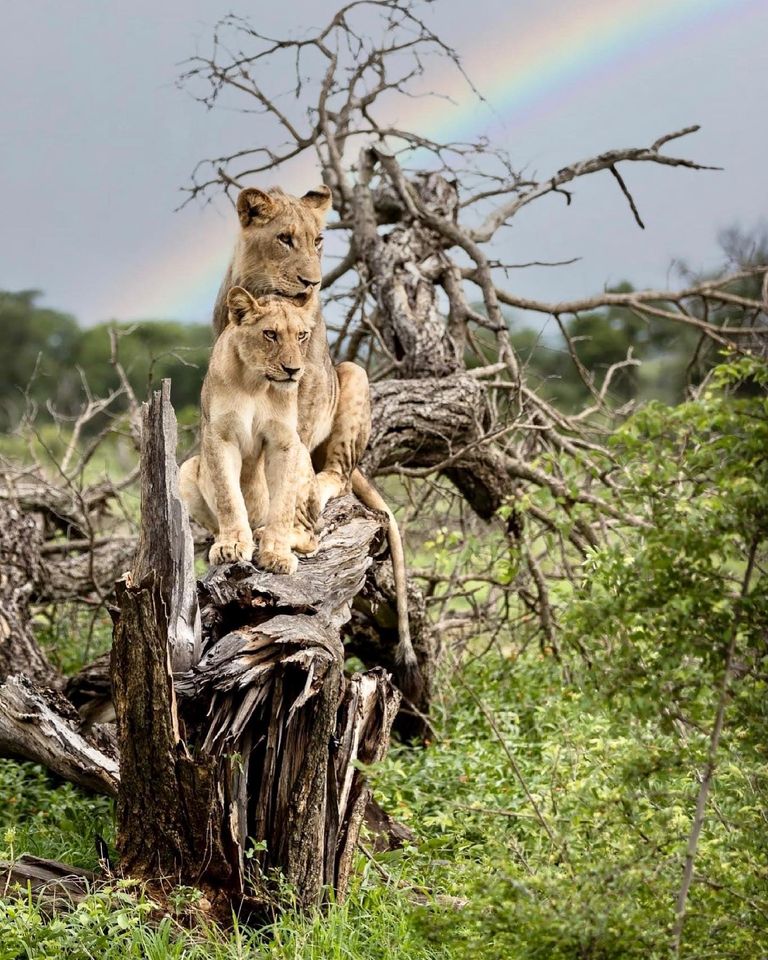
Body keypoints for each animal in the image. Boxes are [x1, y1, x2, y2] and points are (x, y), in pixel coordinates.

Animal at [179, 288, 320, 575]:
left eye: (301, 335)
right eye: (270, 334)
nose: (293, 370)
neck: (255, 383)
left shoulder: (284, 441)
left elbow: (282, 504)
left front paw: (276, 554)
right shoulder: (220, 436)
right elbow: (229, 497)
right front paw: (231, 545)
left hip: (302, 456)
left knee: (311, 536)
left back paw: (264, 534)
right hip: (185, 470)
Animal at [210, 184, 418, 680]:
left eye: (319, 240)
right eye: (284, 239)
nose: (313, 283)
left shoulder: (300, 406)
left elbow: (288, 480)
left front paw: (282, 537)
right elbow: (233, 485)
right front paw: (234, 540)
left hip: (352, 372)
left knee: (336, 475)